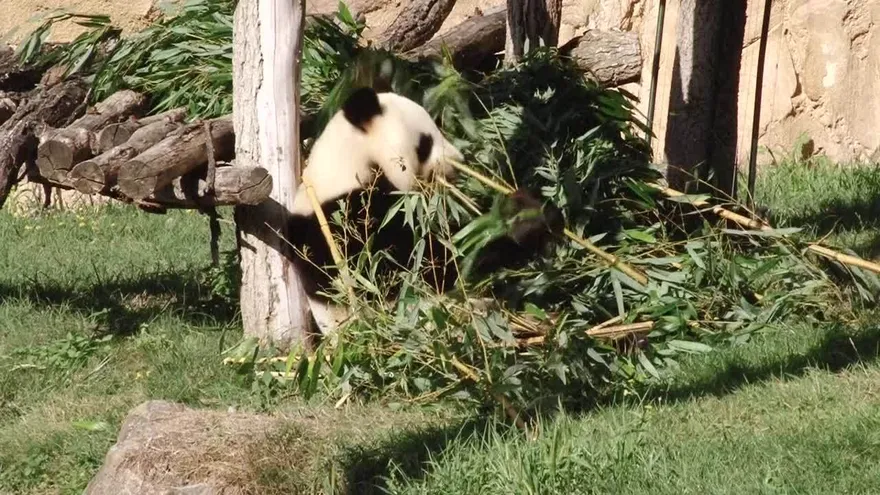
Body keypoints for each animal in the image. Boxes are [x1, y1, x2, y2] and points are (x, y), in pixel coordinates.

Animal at [286, 87, 563, 334]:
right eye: (426, 141)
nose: (459, 161)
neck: (347, 164)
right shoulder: (348, 225)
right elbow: (431, 263)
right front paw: (525, 224)